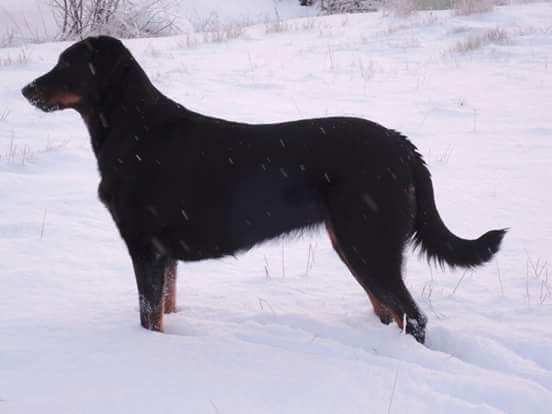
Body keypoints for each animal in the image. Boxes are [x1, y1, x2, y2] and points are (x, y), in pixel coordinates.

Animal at [20, 36, 504, 342]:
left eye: (67, 64)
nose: (25, 89)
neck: (131, 130)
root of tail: (402, 145)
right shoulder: (164, 256)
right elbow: (165, 308)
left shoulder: (146, 249)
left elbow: (148, 316)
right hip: (355, 245)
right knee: (391, 312)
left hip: (367, 244)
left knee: (414, 317)